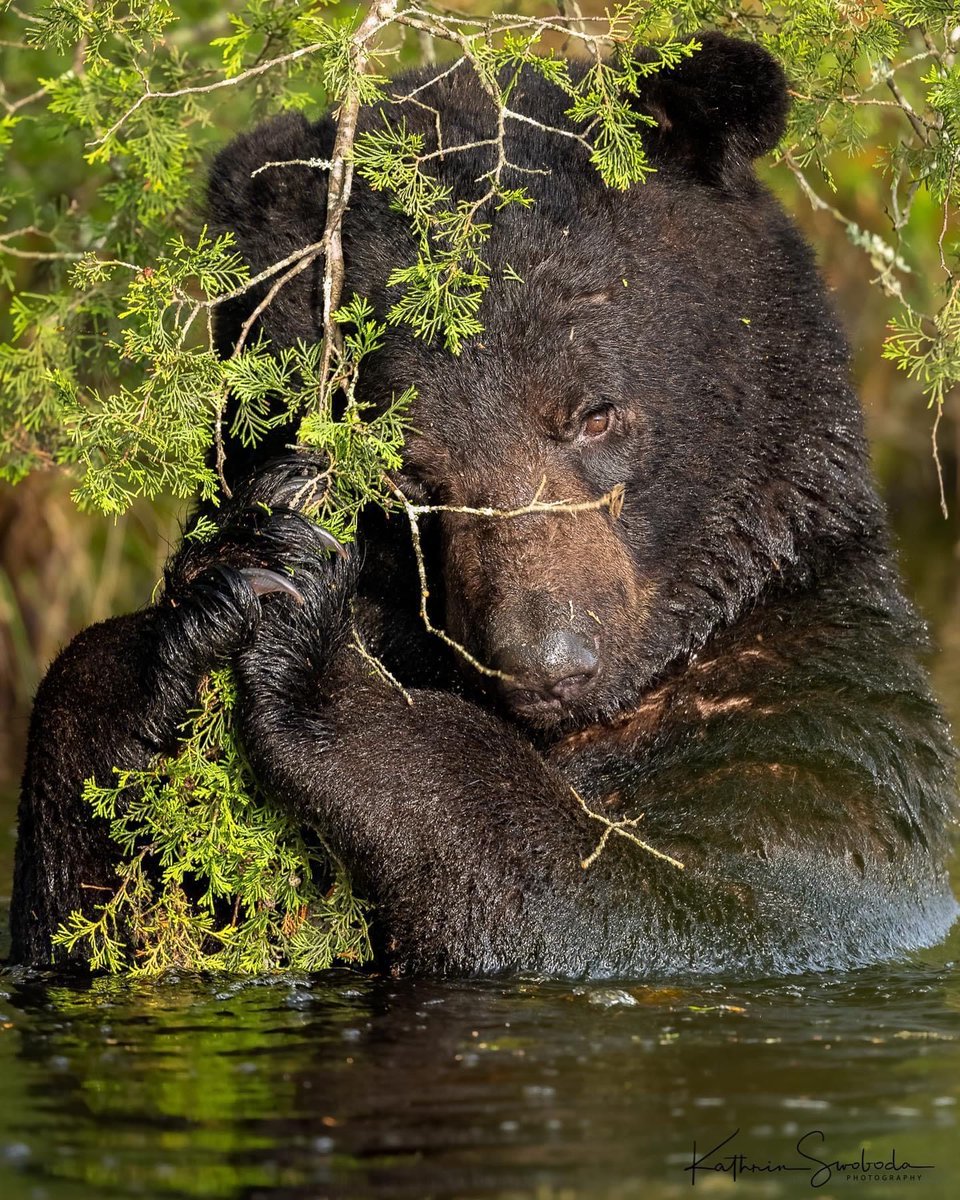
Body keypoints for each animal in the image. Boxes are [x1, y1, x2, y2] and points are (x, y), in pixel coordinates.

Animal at [9, 33, 958, 977]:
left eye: (592, 412)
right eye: (399, 466)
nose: (545, 660)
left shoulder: (819, 745)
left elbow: (670, 903)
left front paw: (323, 660)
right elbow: (89, 919)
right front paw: (225, 577)